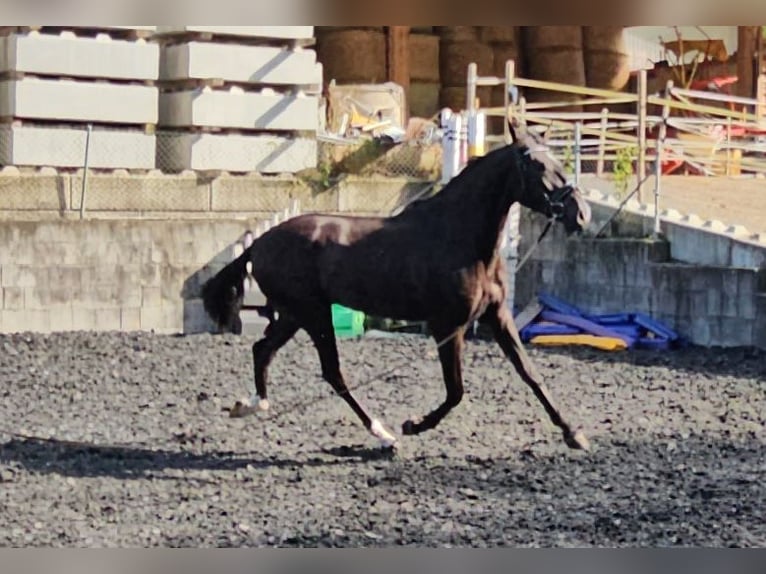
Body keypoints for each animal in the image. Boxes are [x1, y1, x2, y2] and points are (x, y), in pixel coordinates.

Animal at [201, 123, 593, 451]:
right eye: (536, 165)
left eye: (554, 158)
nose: (581, 214)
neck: (460, 237)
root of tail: (259, 243)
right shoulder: (447, 325)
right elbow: (456, 391)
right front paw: (413, 425)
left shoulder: (497, 316)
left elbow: (531, 374)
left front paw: (573, 433)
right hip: (313, 314)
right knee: (332, 373)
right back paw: (383, 433)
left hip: (295, 314)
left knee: (263, 350)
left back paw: (251, 405)